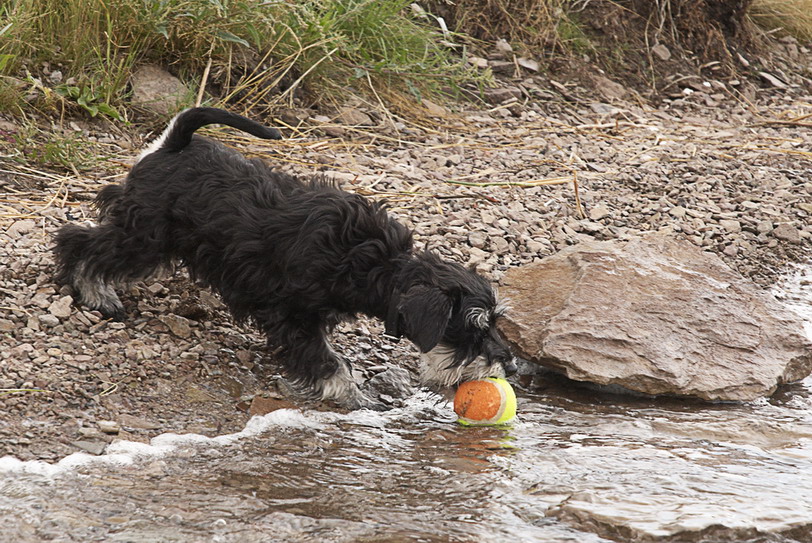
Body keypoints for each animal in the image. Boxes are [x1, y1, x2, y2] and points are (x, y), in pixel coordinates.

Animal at [54, 108, 516, 410]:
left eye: (494, 323)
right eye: (471, 328)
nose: (506, 365)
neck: (375, 265)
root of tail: (171, 146)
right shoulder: (292, 315)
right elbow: (328, 362)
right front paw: (355, 396)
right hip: (145, 237)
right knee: (80, 242)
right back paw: (95, 292)